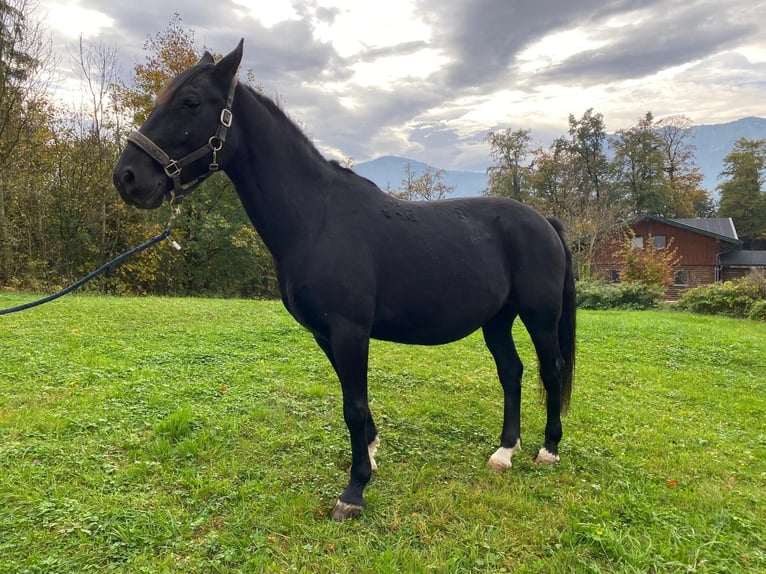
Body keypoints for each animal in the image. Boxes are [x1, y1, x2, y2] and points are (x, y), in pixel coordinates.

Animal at [114, 40, 576, 524]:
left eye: (190, 102)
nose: (127, 177)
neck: (317, 219)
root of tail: (544, 221)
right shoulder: (326, 334)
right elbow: (356, 404)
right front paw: (370, 455)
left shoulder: (350, 331)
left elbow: (352, 406)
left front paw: (353, 492)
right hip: (497, 319)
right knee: (512, 371)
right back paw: (504, 452)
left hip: (539, 315)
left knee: (551, 369)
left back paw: (548, 449)